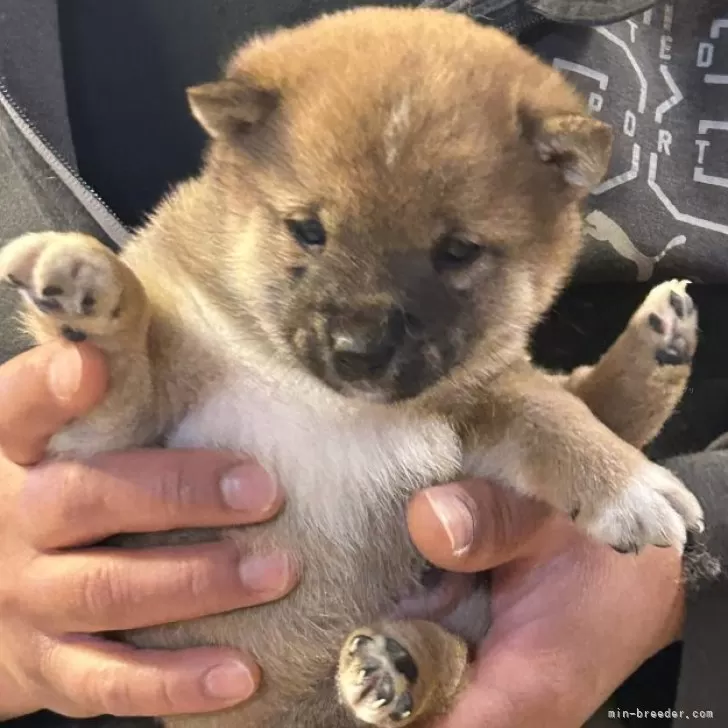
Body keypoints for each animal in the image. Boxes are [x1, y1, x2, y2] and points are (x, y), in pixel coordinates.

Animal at [1, 7, 704, 728]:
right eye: (308, 230)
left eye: (457, 251)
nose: (358, 350)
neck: (322, 401)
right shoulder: (121, 435)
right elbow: (123, 357)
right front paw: (86, 284)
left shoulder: (481, 398)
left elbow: (555, 417)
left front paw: (628, 486)